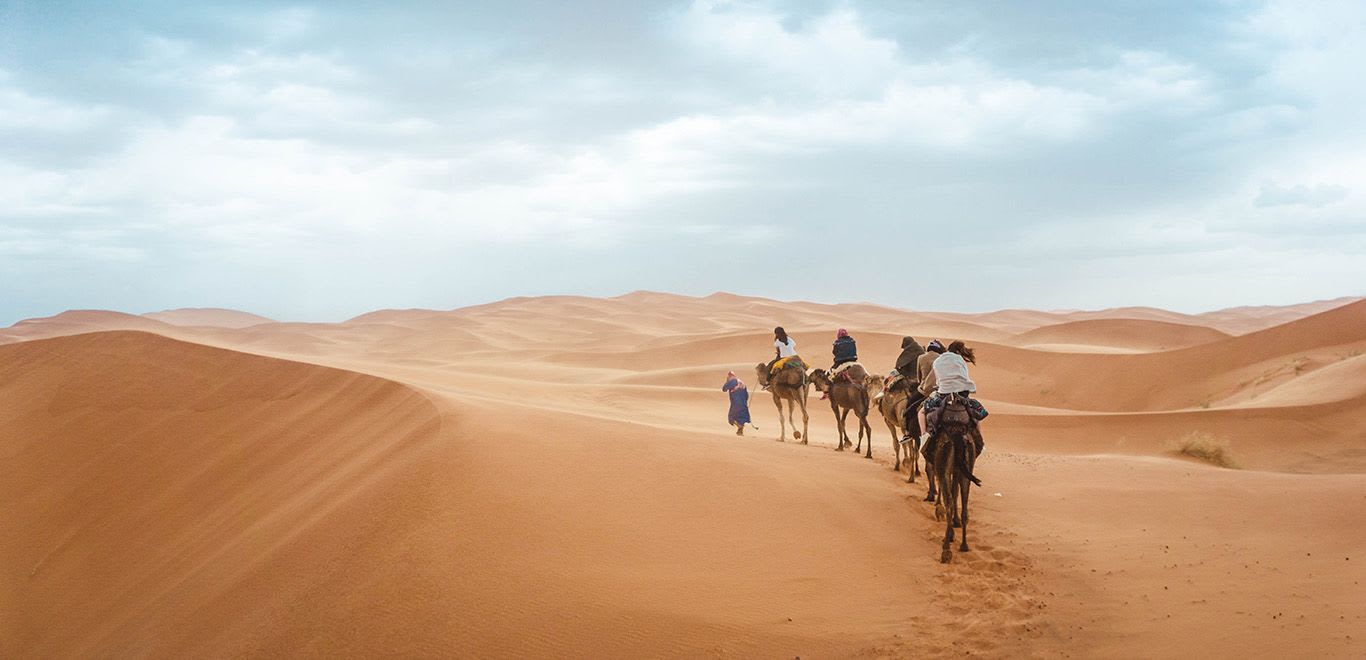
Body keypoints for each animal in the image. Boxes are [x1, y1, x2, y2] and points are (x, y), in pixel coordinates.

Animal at [928, 396, 983, 565]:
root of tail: (957, 434)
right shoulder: (958, 469)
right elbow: (956, 492)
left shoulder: (942, 468)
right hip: (968, 463)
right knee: (964, 504)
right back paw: (964, 545)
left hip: (944, 463)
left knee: (950, 504)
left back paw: (946, 550)